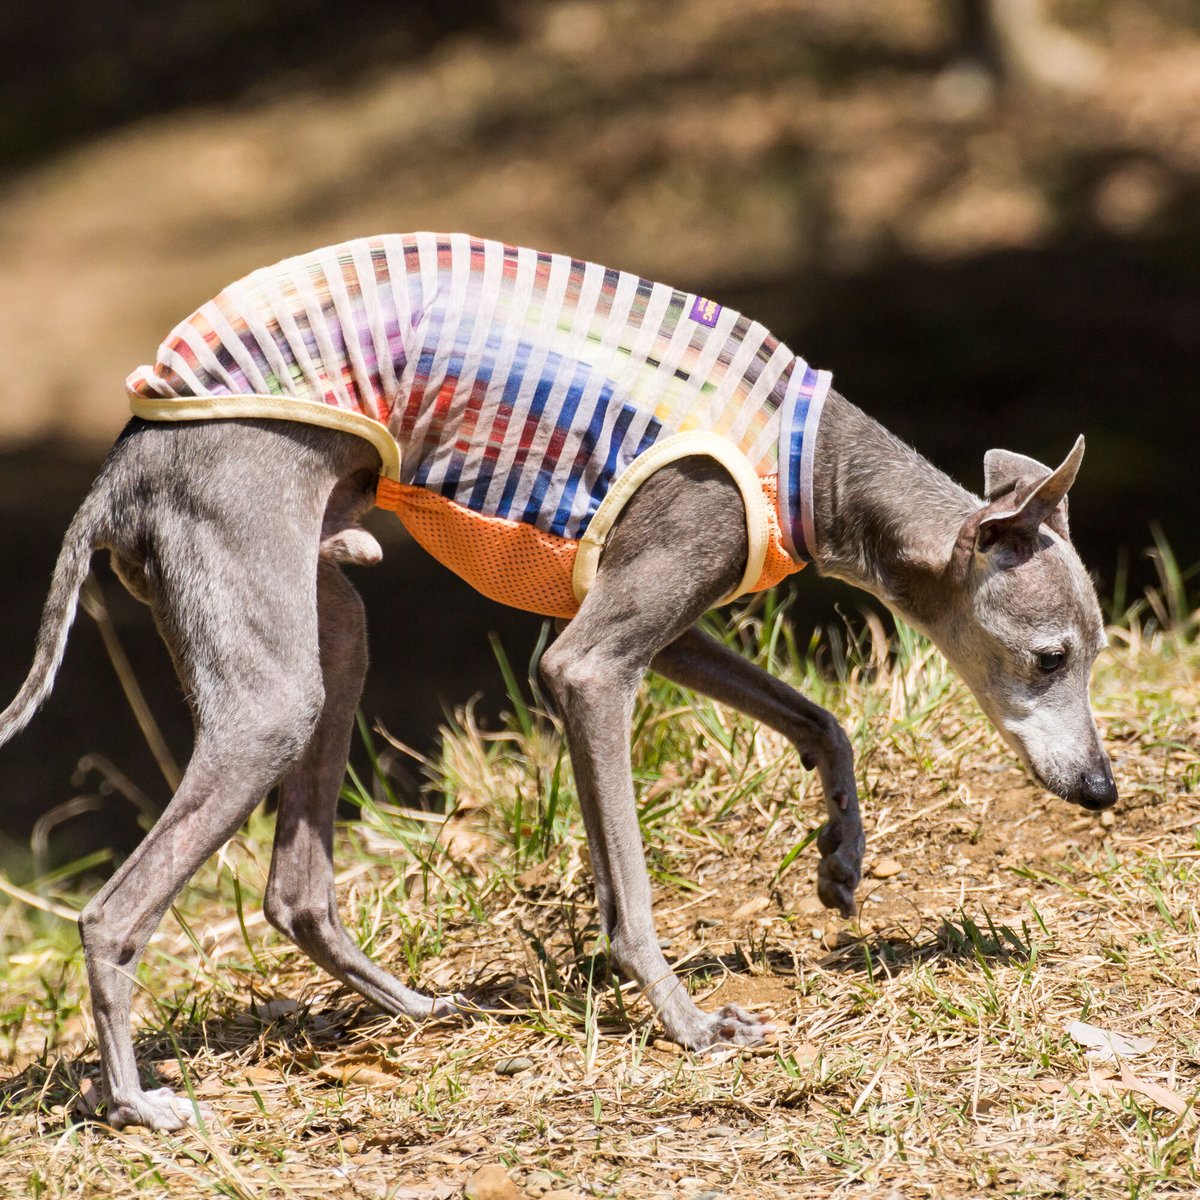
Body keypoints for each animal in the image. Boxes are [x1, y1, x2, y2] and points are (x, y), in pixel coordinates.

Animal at [0, 231, 1113, 1123]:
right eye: (1051, 657)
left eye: (1094, 654)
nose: (1103, 790)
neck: (813, 466)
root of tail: (121, 470)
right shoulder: (590, 662)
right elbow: (630, 891)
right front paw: (688, 1023)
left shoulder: (667, 628)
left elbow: (820, 720)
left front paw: (841, 856)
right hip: (271, 690)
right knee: (111, 916)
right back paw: (137, 1104)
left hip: (330, 633)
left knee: (296, 891)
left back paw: (420, 1007)